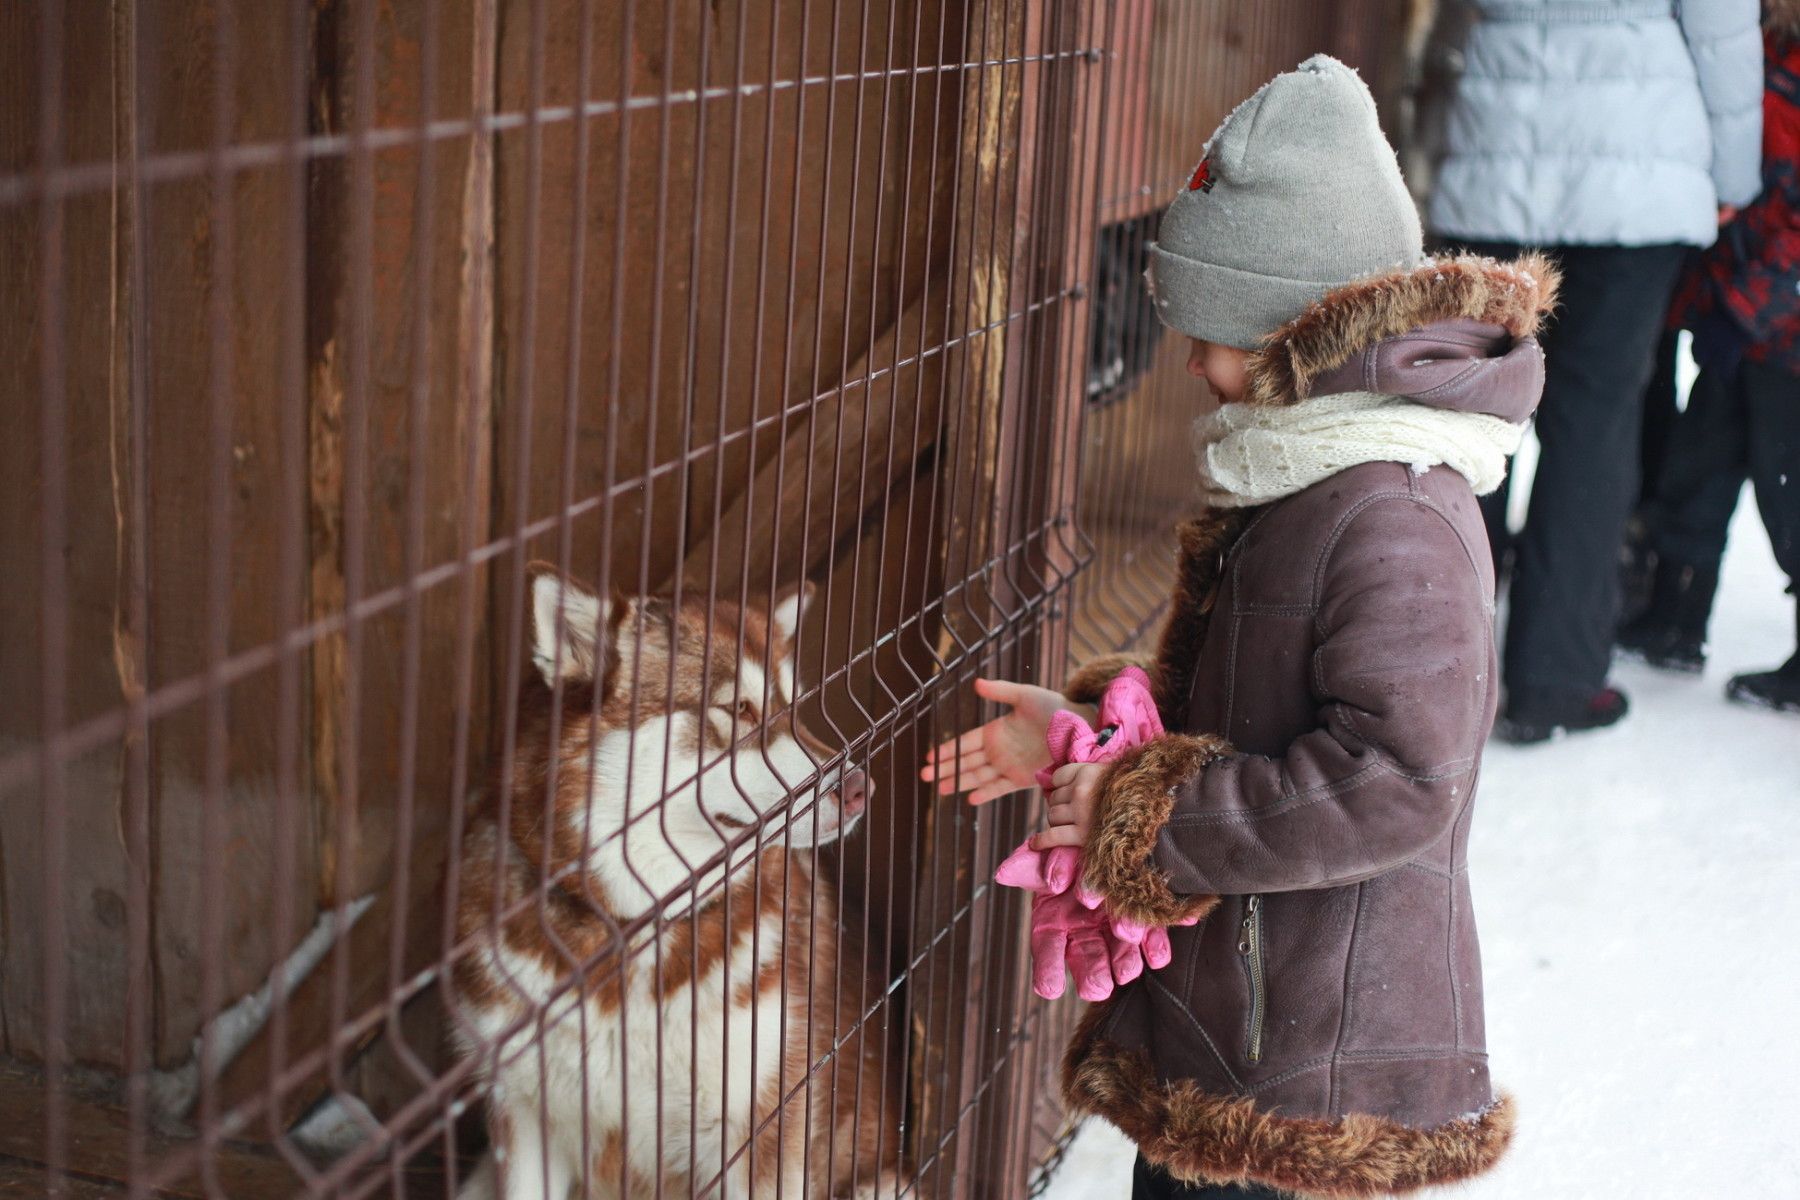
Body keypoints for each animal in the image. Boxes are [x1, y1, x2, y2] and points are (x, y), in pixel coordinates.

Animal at [450, 572, 900, 1200]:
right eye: (737, 708)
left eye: (794, 705)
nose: (861, 787)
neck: (634, 935)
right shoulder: (520, 1112)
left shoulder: (762, 1123)